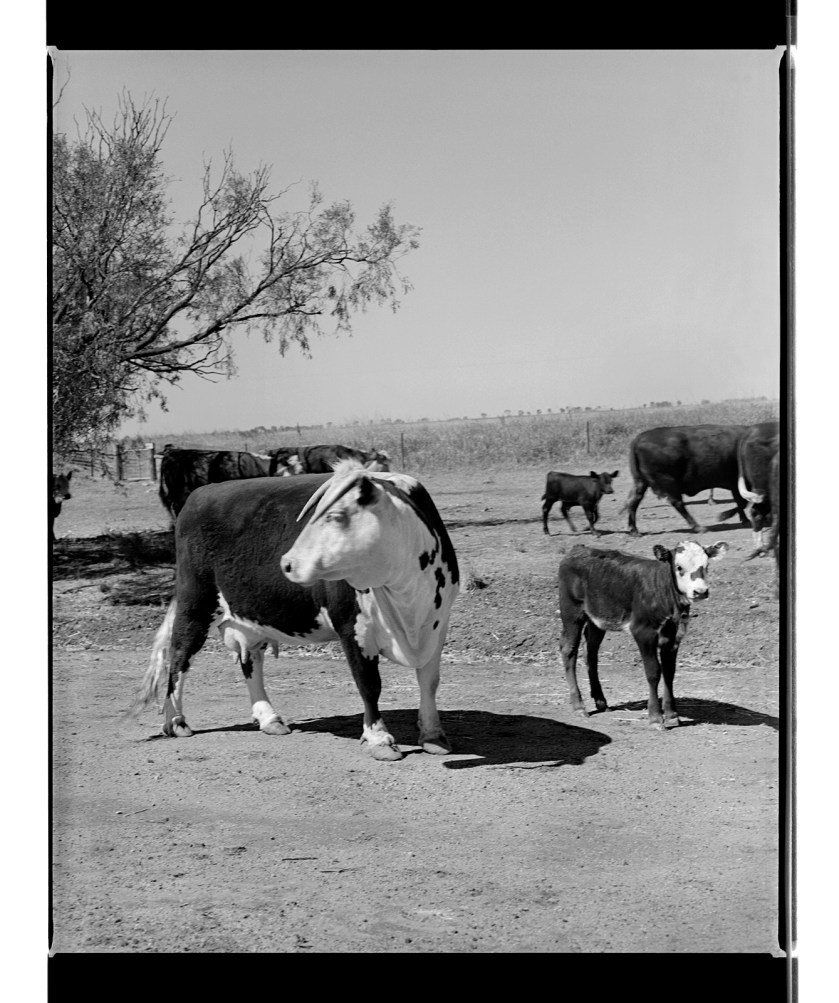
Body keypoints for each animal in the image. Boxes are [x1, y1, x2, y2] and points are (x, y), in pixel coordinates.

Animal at [133, 460, 460, 762]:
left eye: (336, 516)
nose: (287, 563)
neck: (406, 599)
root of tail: (201, 493)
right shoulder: (352, 628)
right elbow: (369, 685)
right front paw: (379, 739)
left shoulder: (437, 624)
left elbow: (429, 681)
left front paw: (433, 735)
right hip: (195, 603)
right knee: (179, 657)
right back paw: (176, 721)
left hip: (247, 616)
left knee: (250, 661)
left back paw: (269, 718)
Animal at [557, 540, 728, 728]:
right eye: (679, 567)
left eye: (706, 565)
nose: (700, 591)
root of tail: (578, 549)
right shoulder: (643, 631)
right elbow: (653, 671)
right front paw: (655, 717)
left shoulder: (673, 633)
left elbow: (669, 671)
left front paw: (672, 714)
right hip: (571, 610)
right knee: (569, 649)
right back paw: (578, 706)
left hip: (597, 618)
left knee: (591, 652)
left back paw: (601, 701)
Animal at [623, 424, 751, 535]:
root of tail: (638, 439)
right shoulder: (737, 483)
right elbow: (742, 502)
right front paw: (726, 516)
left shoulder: (735, 485)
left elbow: (740, 502)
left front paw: (744, 519)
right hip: (669, 484)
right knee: (677, 503)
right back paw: (698, 527)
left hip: (641, 482)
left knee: (634, 501)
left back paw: (634, 530)